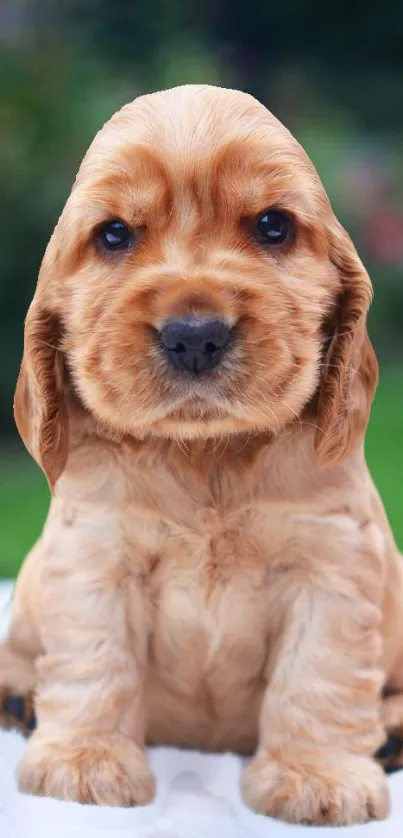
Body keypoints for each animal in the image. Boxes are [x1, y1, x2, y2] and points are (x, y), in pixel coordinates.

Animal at [0, 83, 403, 828]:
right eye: (114, 234)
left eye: (273, 226)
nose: (194, 335)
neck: (205, 456)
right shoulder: (95, 557)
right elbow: (95, 661)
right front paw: (85, 763)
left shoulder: (330, 565)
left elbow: (317, 675)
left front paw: (316, 778)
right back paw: (19, 697)